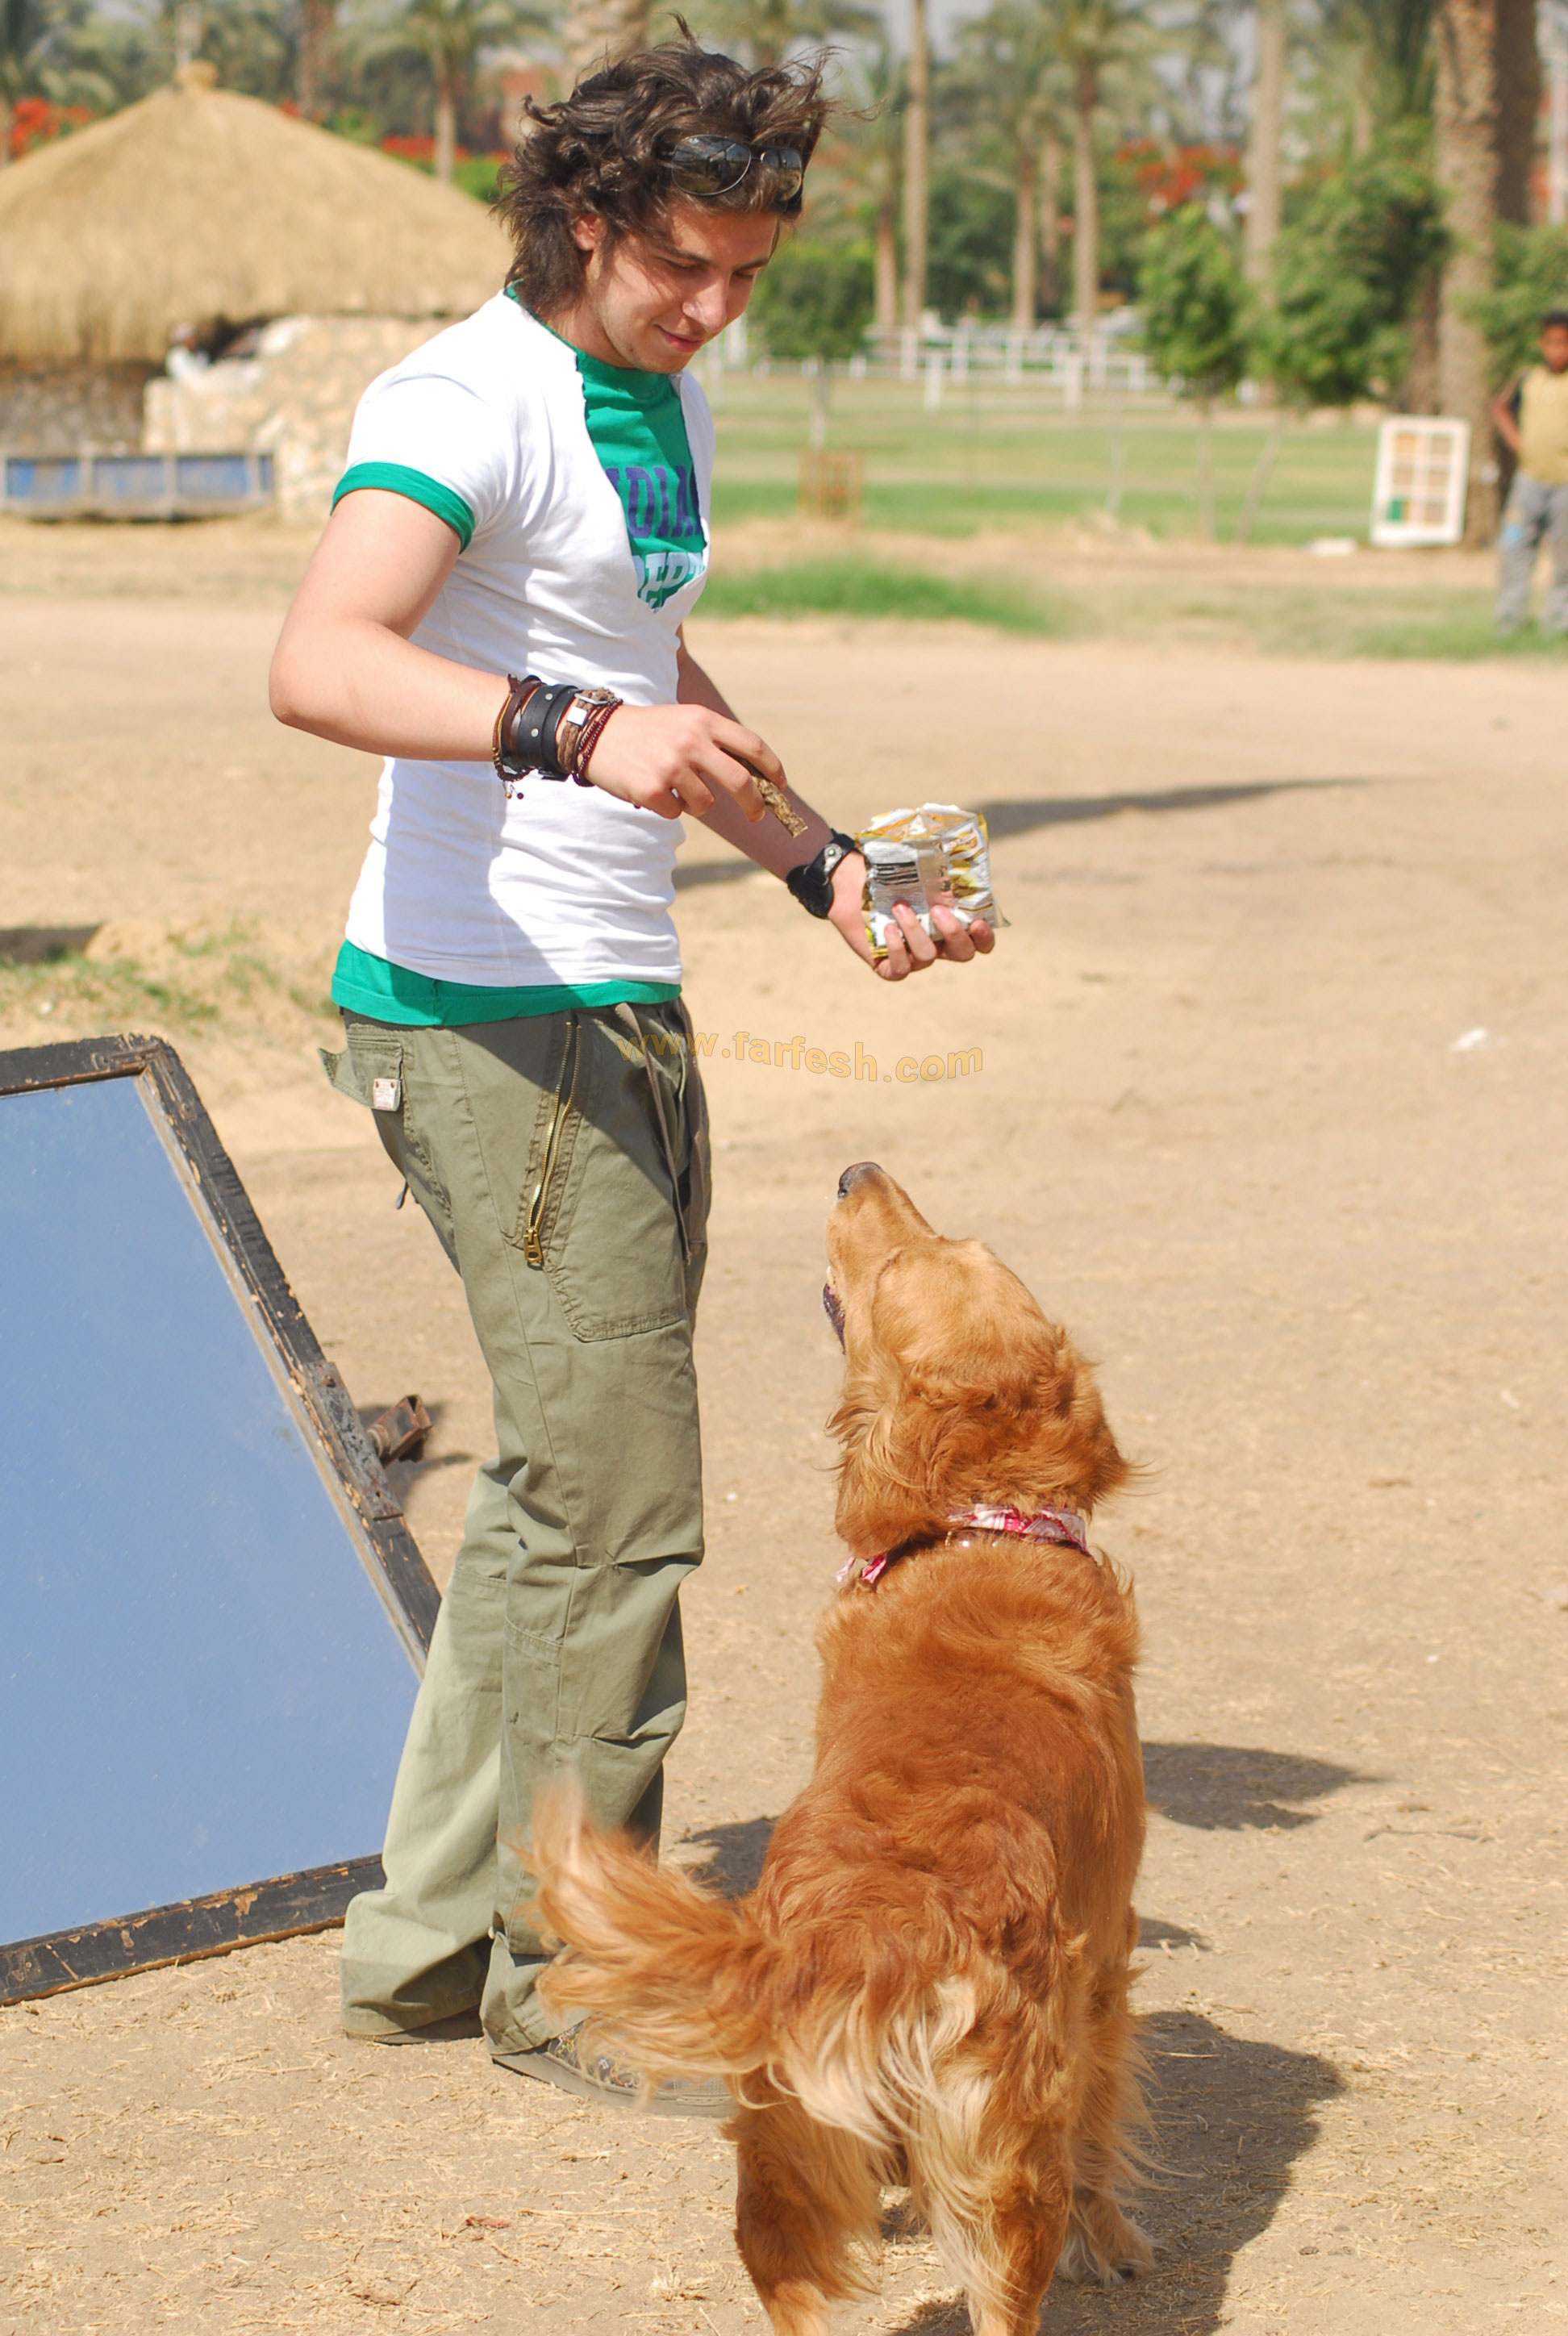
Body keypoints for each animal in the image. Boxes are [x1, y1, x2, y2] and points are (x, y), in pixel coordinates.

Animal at [528, 1162, 1151, 2336]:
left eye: (934, 1246)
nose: (857, 1169)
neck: (980, 1526)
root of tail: (874, 1931)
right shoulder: (1105, 1957)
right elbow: (1102, 2133)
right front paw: (1121, 2245)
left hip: (784, 2160)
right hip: (1009, 2167)